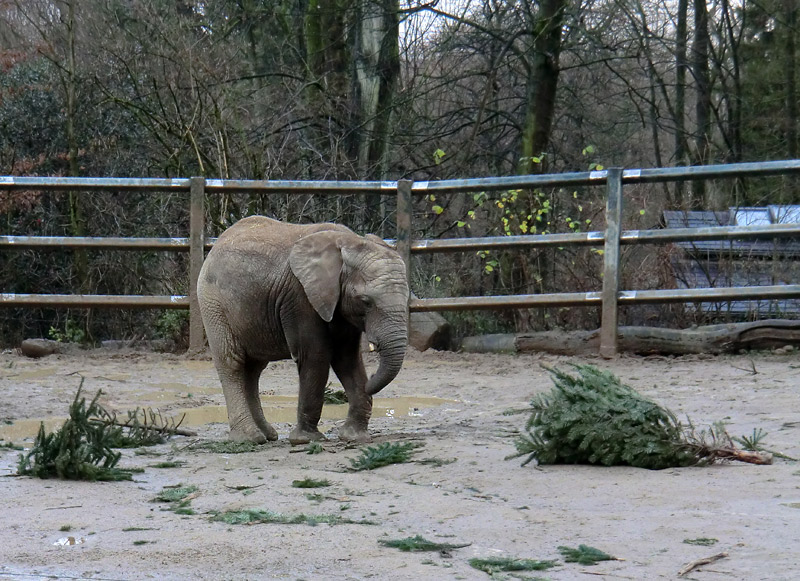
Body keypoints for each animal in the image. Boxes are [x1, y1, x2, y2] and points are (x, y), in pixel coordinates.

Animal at [198, 216, 410, 444]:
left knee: (254, 369)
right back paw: (249, 438)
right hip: (213, 304)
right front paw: (306, 440)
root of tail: (215, 246)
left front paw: (353, 436)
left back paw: (268, 435)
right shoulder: (299, 296)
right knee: (232, 362)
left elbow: (347, 358)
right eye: (365, 301)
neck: (349, 241)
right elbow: (315, 355)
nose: (371, 379)